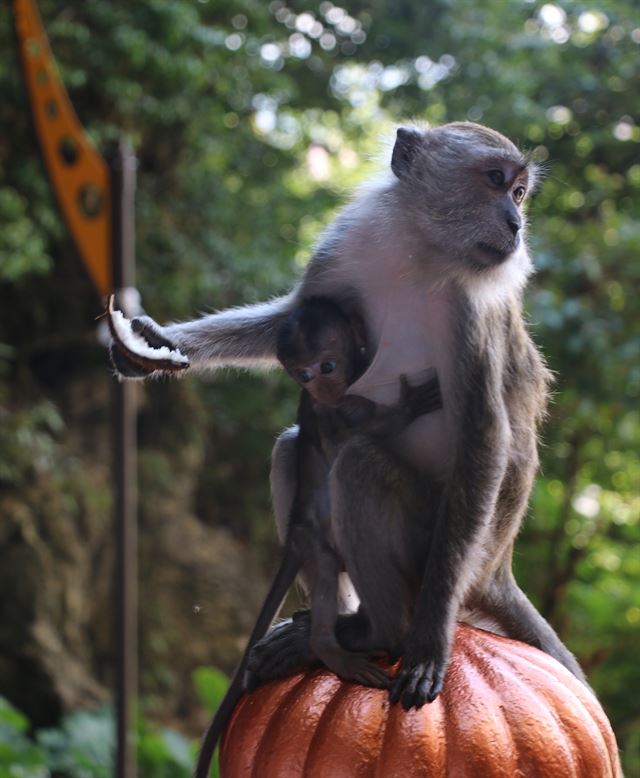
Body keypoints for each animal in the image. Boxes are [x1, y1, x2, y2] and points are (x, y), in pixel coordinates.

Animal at [112, 121, 588, 708]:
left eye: (520, 193)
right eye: (497, 181)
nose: (516, 224)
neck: (420, 252)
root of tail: (496, 570)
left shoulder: (471, 310)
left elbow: (483, 436)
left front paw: (429, 641)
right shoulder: (346, 245)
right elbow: (290, 320)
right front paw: (157, 344)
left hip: (433, 549)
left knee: (361, 465)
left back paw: (376, 633)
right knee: (293, 448)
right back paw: (326, 625)